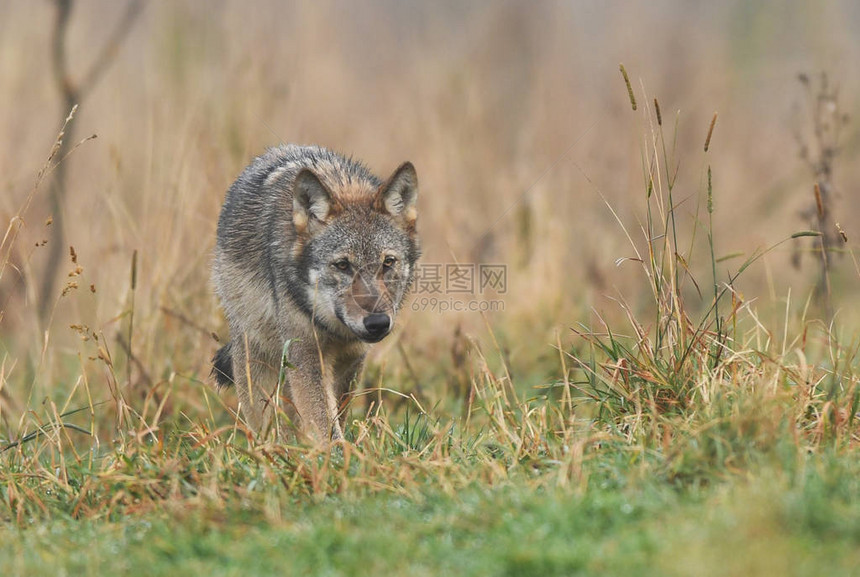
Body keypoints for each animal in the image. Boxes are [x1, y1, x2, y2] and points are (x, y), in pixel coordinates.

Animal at [212, 144, 420, 440]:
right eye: (343, 265)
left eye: (388, 262)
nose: (378, 323)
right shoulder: (306, 355)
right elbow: (323, 424)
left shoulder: (351, 359)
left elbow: (334, 415)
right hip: (257, 361)